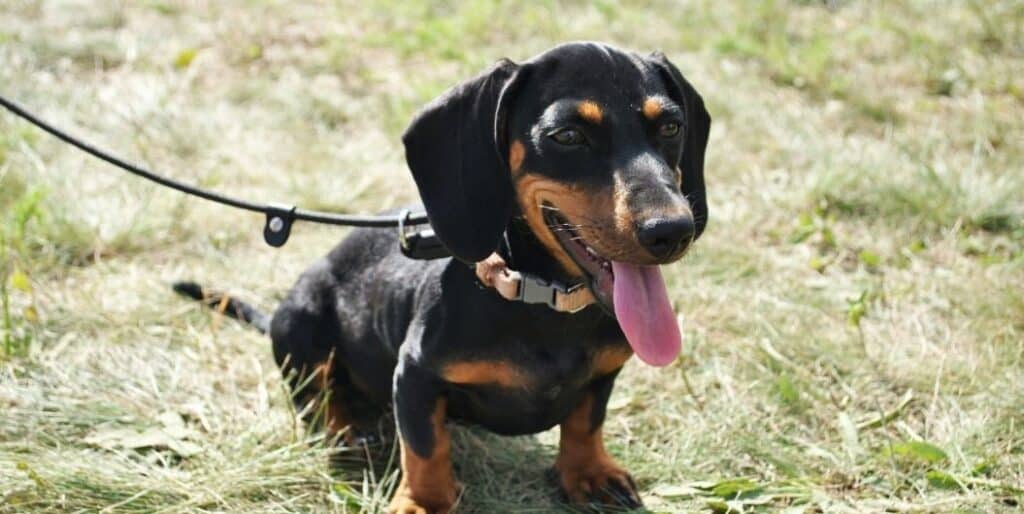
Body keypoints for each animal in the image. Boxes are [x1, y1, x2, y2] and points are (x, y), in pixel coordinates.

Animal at [172, 42, 708, 511]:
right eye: (568, 136)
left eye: (671, 126)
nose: (673, 231)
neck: (542, 302)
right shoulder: (414, 374)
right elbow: (426, 448)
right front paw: (424, 502)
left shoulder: (603, 372)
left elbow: (585, 421)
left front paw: (588, 473)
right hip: (300, 324)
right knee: (315, 396)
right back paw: (347, 431)